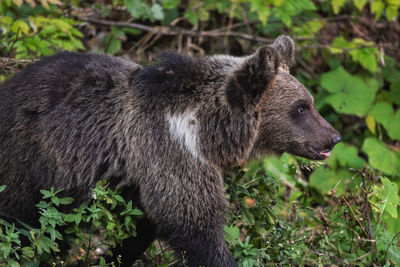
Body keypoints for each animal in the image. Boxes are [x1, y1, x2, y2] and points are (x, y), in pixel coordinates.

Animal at [0, 36, 340, 267]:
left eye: (308, 102)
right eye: (301, 107)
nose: (333, 137)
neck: (206, 130)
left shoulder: (142, 180)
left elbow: (142, 229)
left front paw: (113, 257)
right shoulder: (169, 151)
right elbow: (194, 223)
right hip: (29, 159)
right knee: (19, 222)